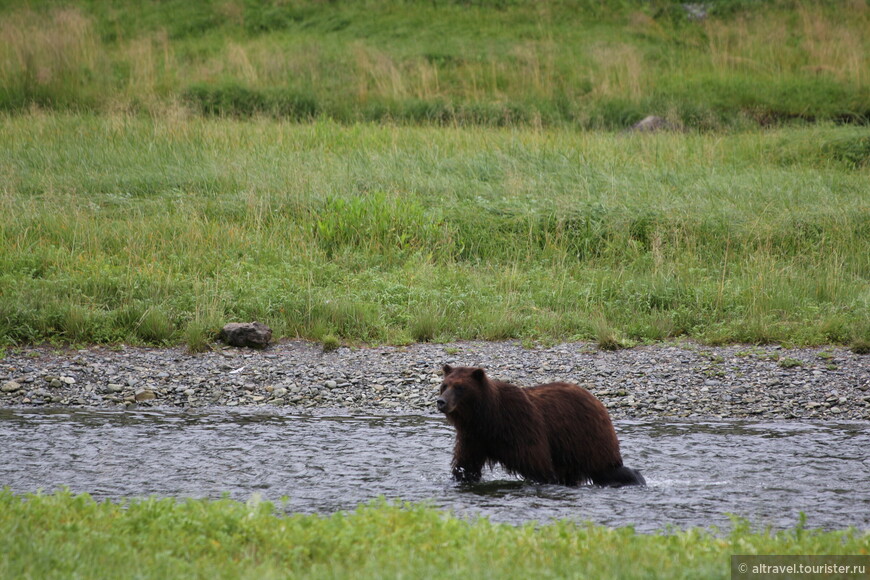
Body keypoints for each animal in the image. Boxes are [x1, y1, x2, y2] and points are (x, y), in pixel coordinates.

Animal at [436, 368, 648, 484]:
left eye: (460, 387)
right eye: (444, 385)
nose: (441, 402)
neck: (487, 418)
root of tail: (598, 401)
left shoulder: (520, 426)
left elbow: (537, 463)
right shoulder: (474, 437)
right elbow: (465, 465)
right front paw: (461, 477)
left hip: (587, 436)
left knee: (607, 469)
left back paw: (636, 478)